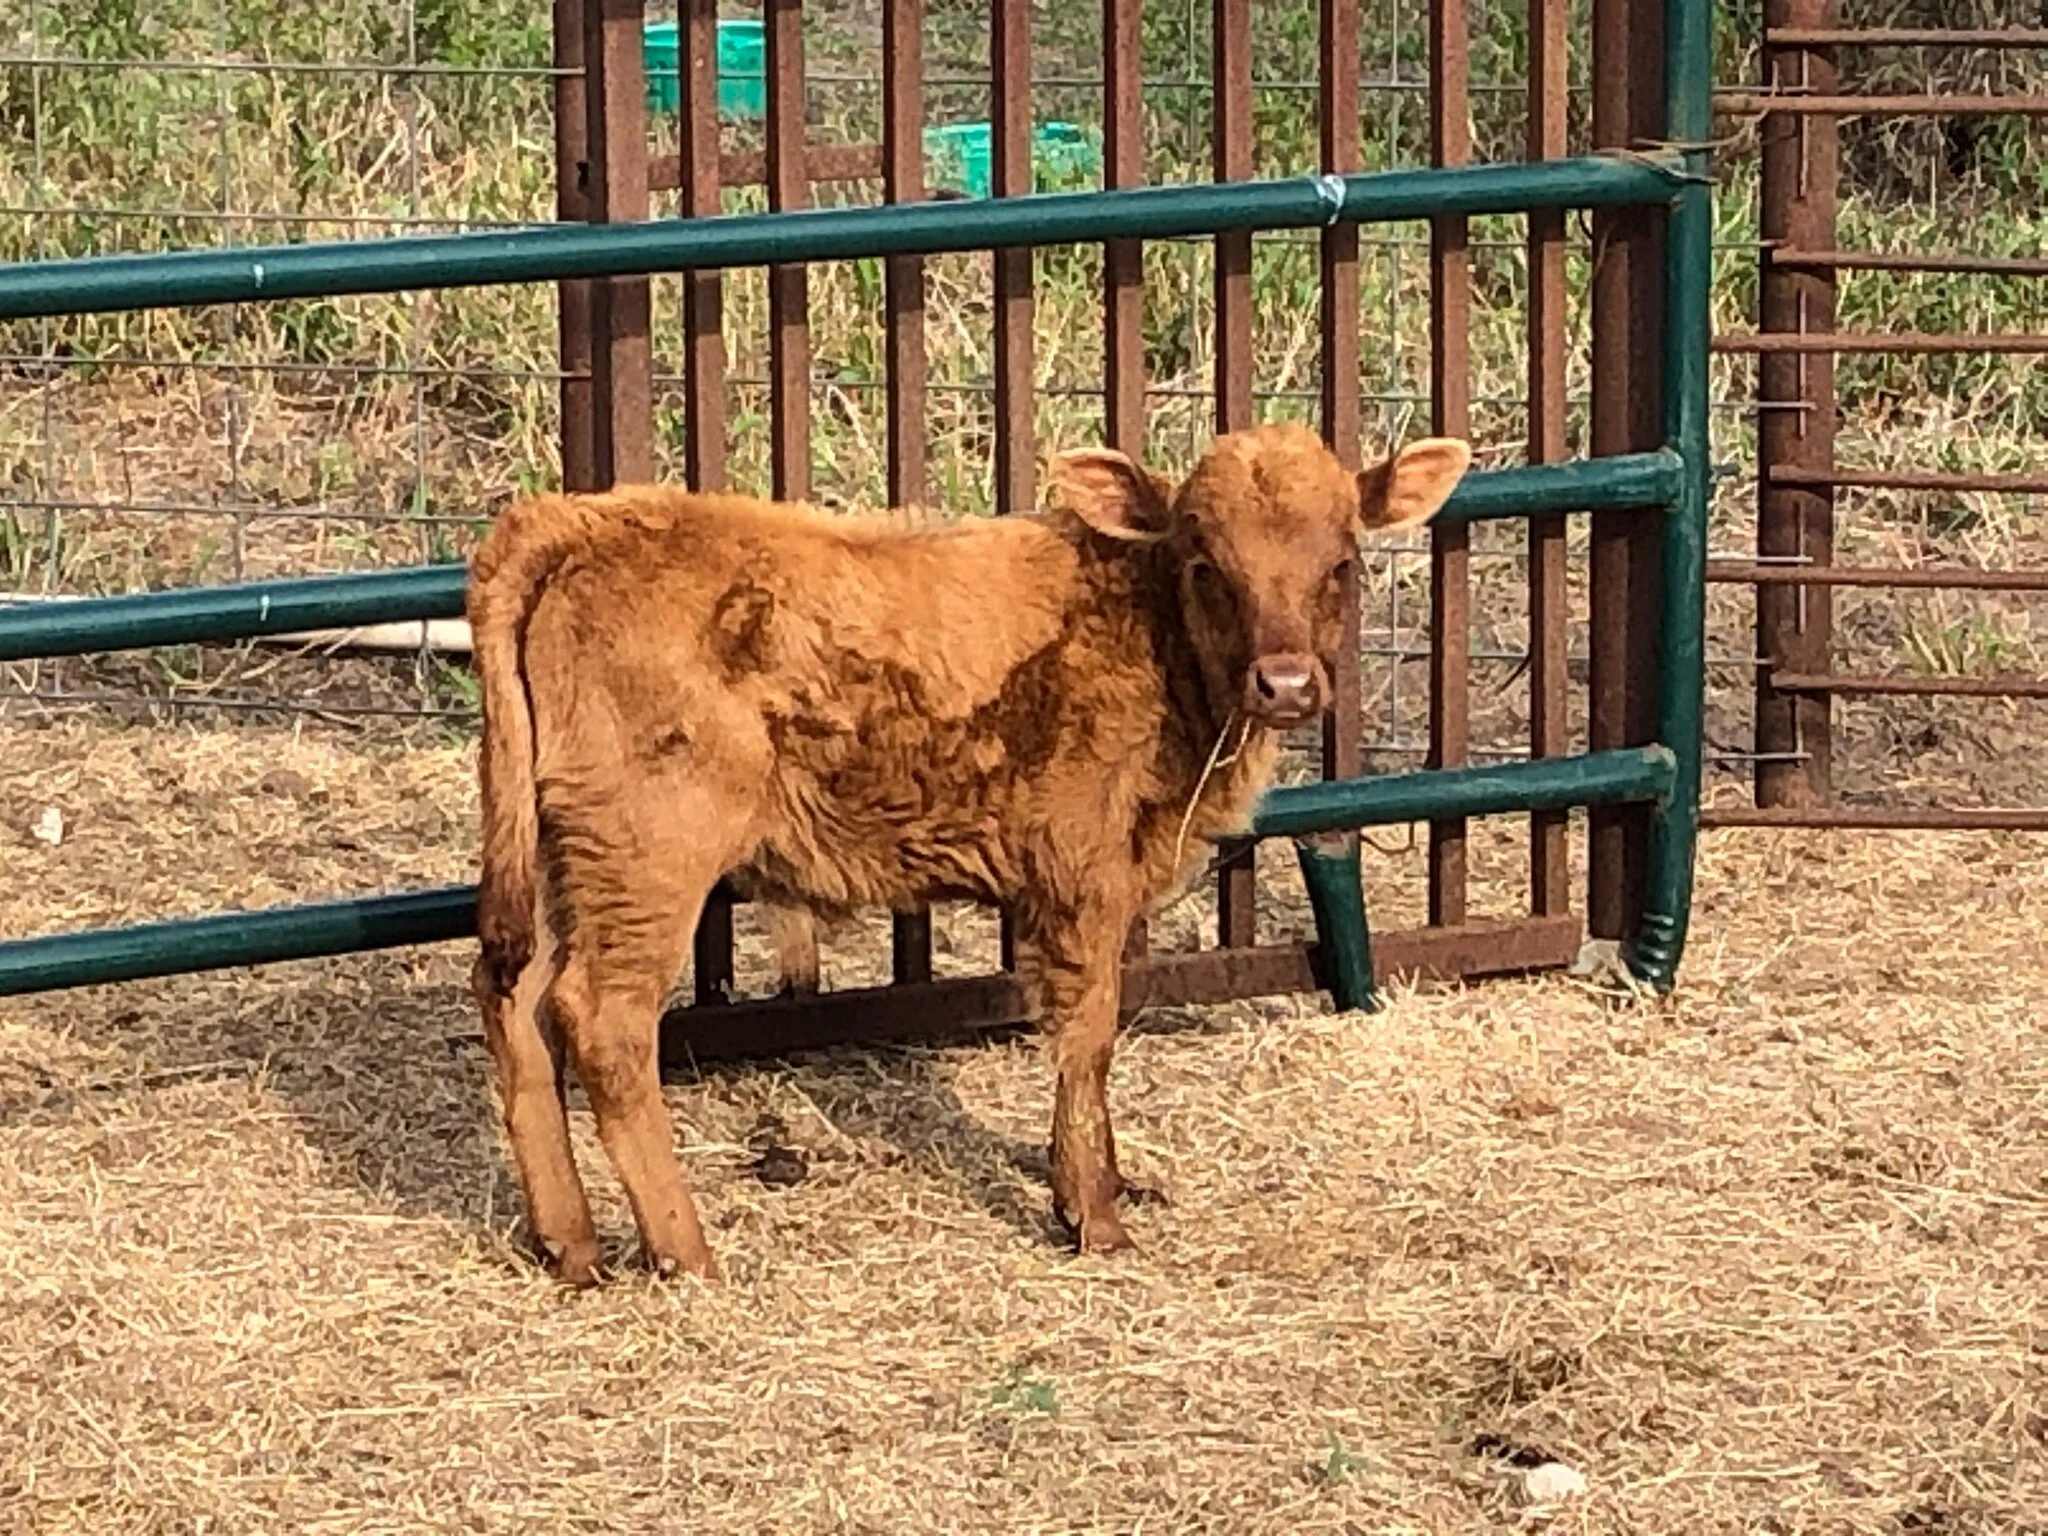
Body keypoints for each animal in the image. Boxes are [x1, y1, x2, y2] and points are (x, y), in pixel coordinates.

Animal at [466, 422, 1470, 1283]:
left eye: (1341, 561)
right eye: (1205, 564)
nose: (1287, 684)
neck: (1142, 628)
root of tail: (577, 520)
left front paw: (1107, 1184)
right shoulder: (1080, 880)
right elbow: (1088, 1037)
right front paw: (1093, 1215)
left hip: (564, 856)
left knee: (513, 995)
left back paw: (572, 1245)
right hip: (649, 857)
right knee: (604, 1020)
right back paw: (688, 1252)